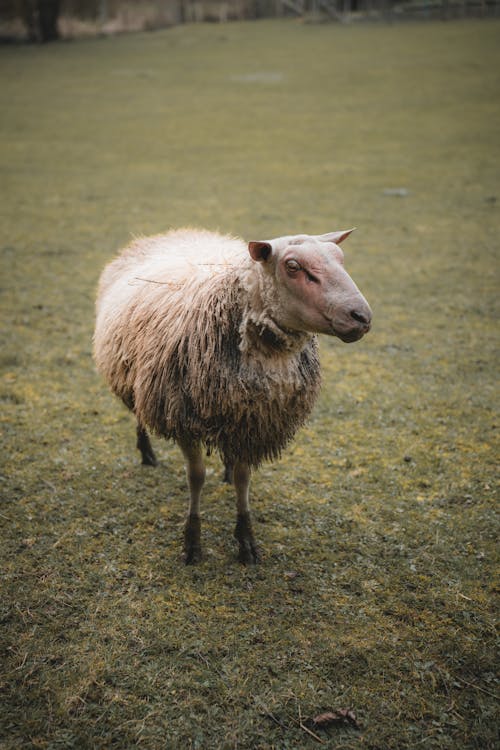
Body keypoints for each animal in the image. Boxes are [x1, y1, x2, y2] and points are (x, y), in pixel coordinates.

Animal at [94, 228, 372, 564]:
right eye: (292, 267)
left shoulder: (253, 422)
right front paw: (192, 541)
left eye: (340, 258)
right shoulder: (184, 419)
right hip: (134, 374)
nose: (361, 317)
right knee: (138, 411)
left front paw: (246, 539)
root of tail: (175, 232)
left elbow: (243, 479)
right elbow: (196, 477)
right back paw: (146, 452)